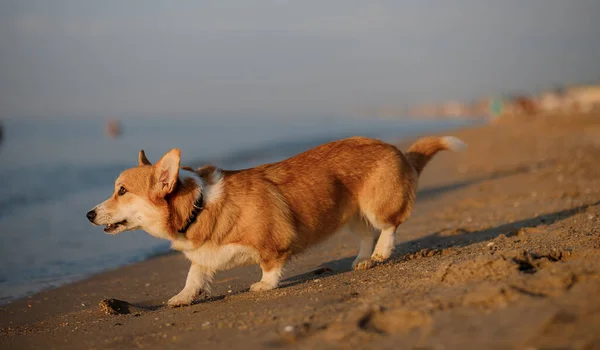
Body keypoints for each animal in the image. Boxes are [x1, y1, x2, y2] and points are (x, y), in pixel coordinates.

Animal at [86, 135, 466, 304]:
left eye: (121, 191)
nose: (88, 214)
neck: (198, 206)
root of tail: (400, 150)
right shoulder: (204, 256)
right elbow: (194, 275)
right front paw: (182, 297)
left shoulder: (273, 243)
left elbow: (270, 264)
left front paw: (264, 285)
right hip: (351, 215)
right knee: (365, 235)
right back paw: (362, 259)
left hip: (374, 205)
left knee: (388, 226)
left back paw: (382, 253)